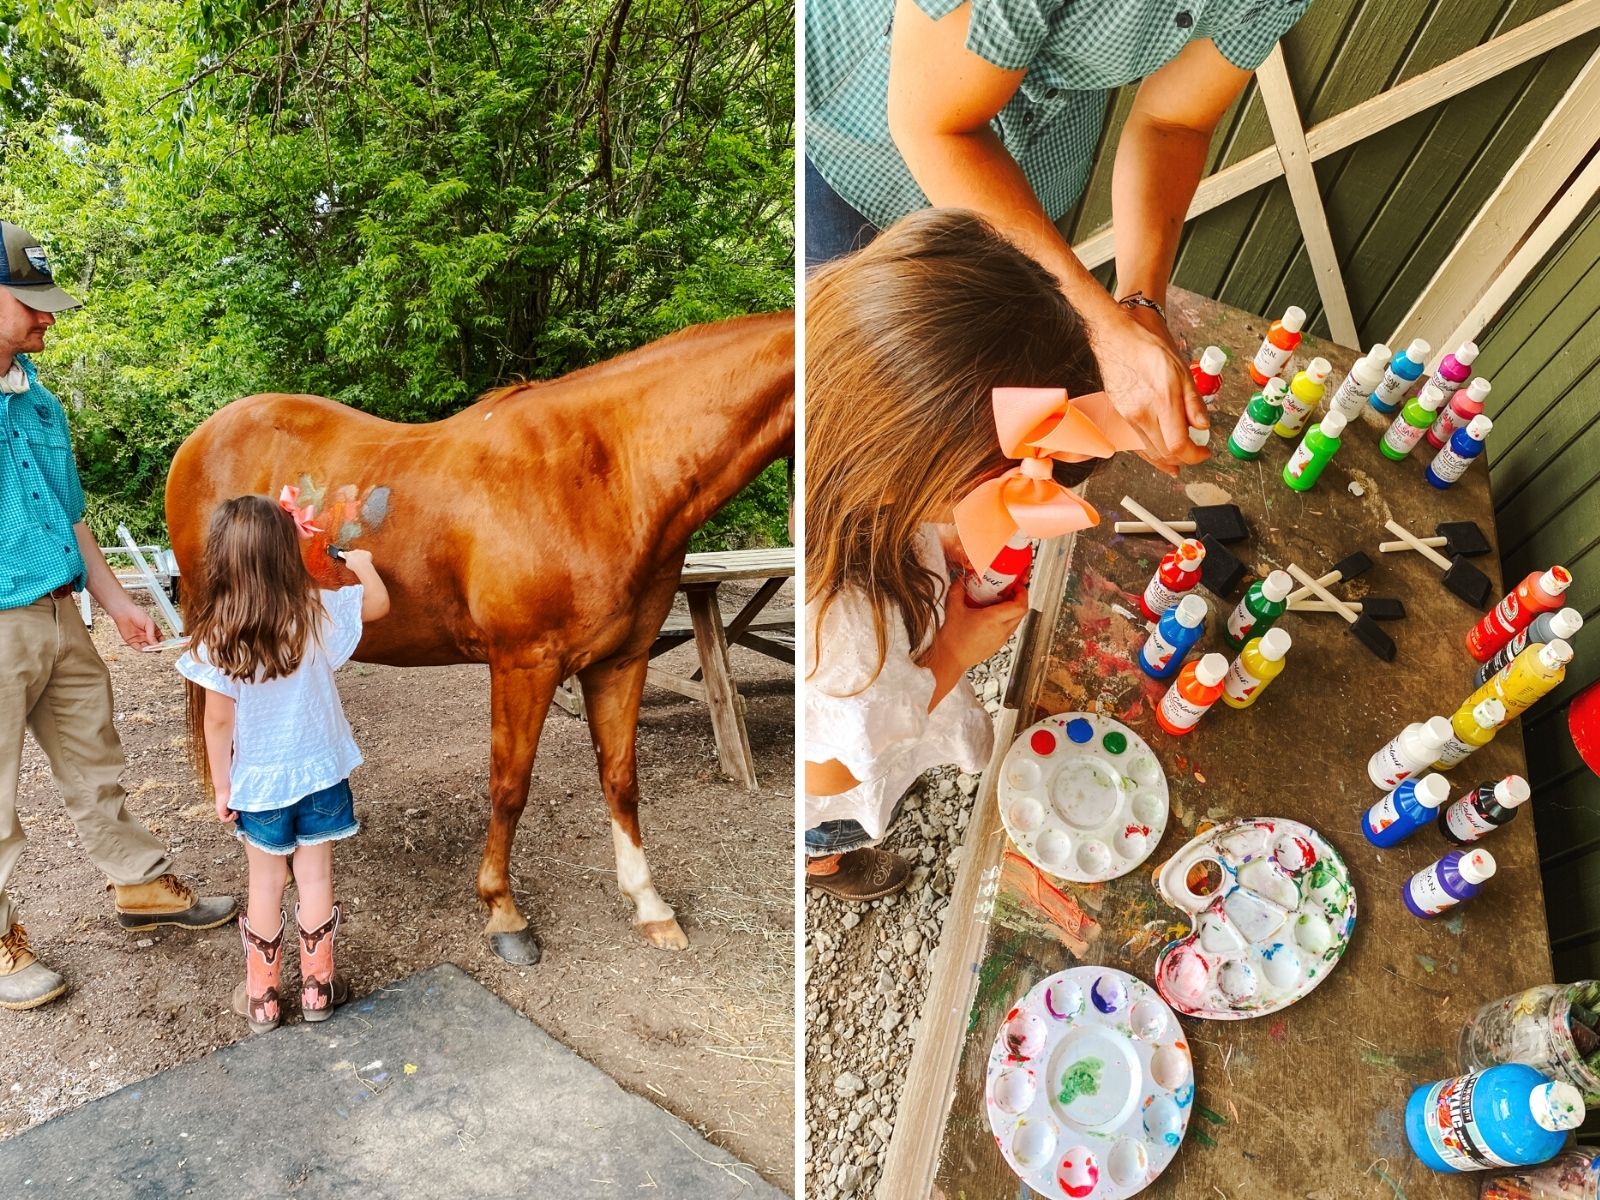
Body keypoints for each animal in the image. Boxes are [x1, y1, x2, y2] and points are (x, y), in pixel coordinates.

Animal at [167, 312, 793, 966]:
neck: (605, 475)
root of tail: (198, 442)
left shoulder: (622, 662)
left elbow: (621, 780)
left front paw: (649, 904)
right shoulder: (525, 663)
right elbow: (510, 786)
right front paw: (503, 911)